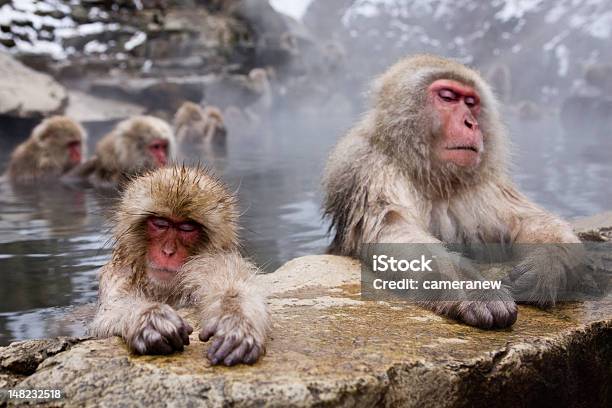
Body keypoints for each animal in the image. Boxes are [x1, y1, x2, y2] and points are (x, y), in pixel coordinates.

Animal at [91, 166, 270, 366]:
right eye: (160, 224)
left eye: (186, 228)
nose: (168, 251)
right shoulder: (120, 273)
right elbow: (112, 308)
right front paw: (150, 317)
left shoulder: (212, 260)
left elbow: (231, 285)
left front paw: (235, 322)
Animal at [322, 53, 580, 328]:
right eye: (447, 97)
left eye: (471, 102)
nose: (471, 123)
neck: (431, 176)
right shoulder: (367, 167)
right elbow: (395, 228)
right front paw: (471, 289)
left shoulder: (485, 182)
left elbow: (525, 219)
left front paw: (547, 263)